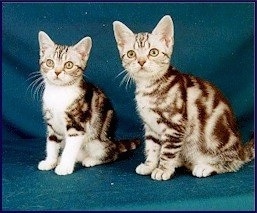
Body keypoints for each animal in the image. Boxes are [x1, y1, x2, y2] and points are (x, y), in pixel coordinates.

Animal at [36, 31, 138, 175]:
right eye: (50, 62)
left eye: (68, 65)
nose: (57, 72)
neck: (59, 92)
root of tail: (114, 142)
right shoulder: (52, 124)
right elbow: (52, 143)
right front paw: (50, 161)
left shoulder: (77, 124)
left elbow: (70, 148)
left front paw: (64, 167)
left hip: (97, 141)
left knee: (112, 154)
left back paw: (91, 160)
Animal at [111, 15, 252, 181]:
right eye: (131, 54)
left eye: (153, 52)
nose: (141, 61)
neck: (149, 86)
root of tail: (241, 150)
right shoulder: (151, 127)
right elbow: (152, 148)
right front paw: (149, 165)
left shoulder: (175, 125)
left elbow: (167, 151)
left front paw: (163, 169)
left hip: (220, 144)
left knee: (233, 163)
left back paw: (205, 167)